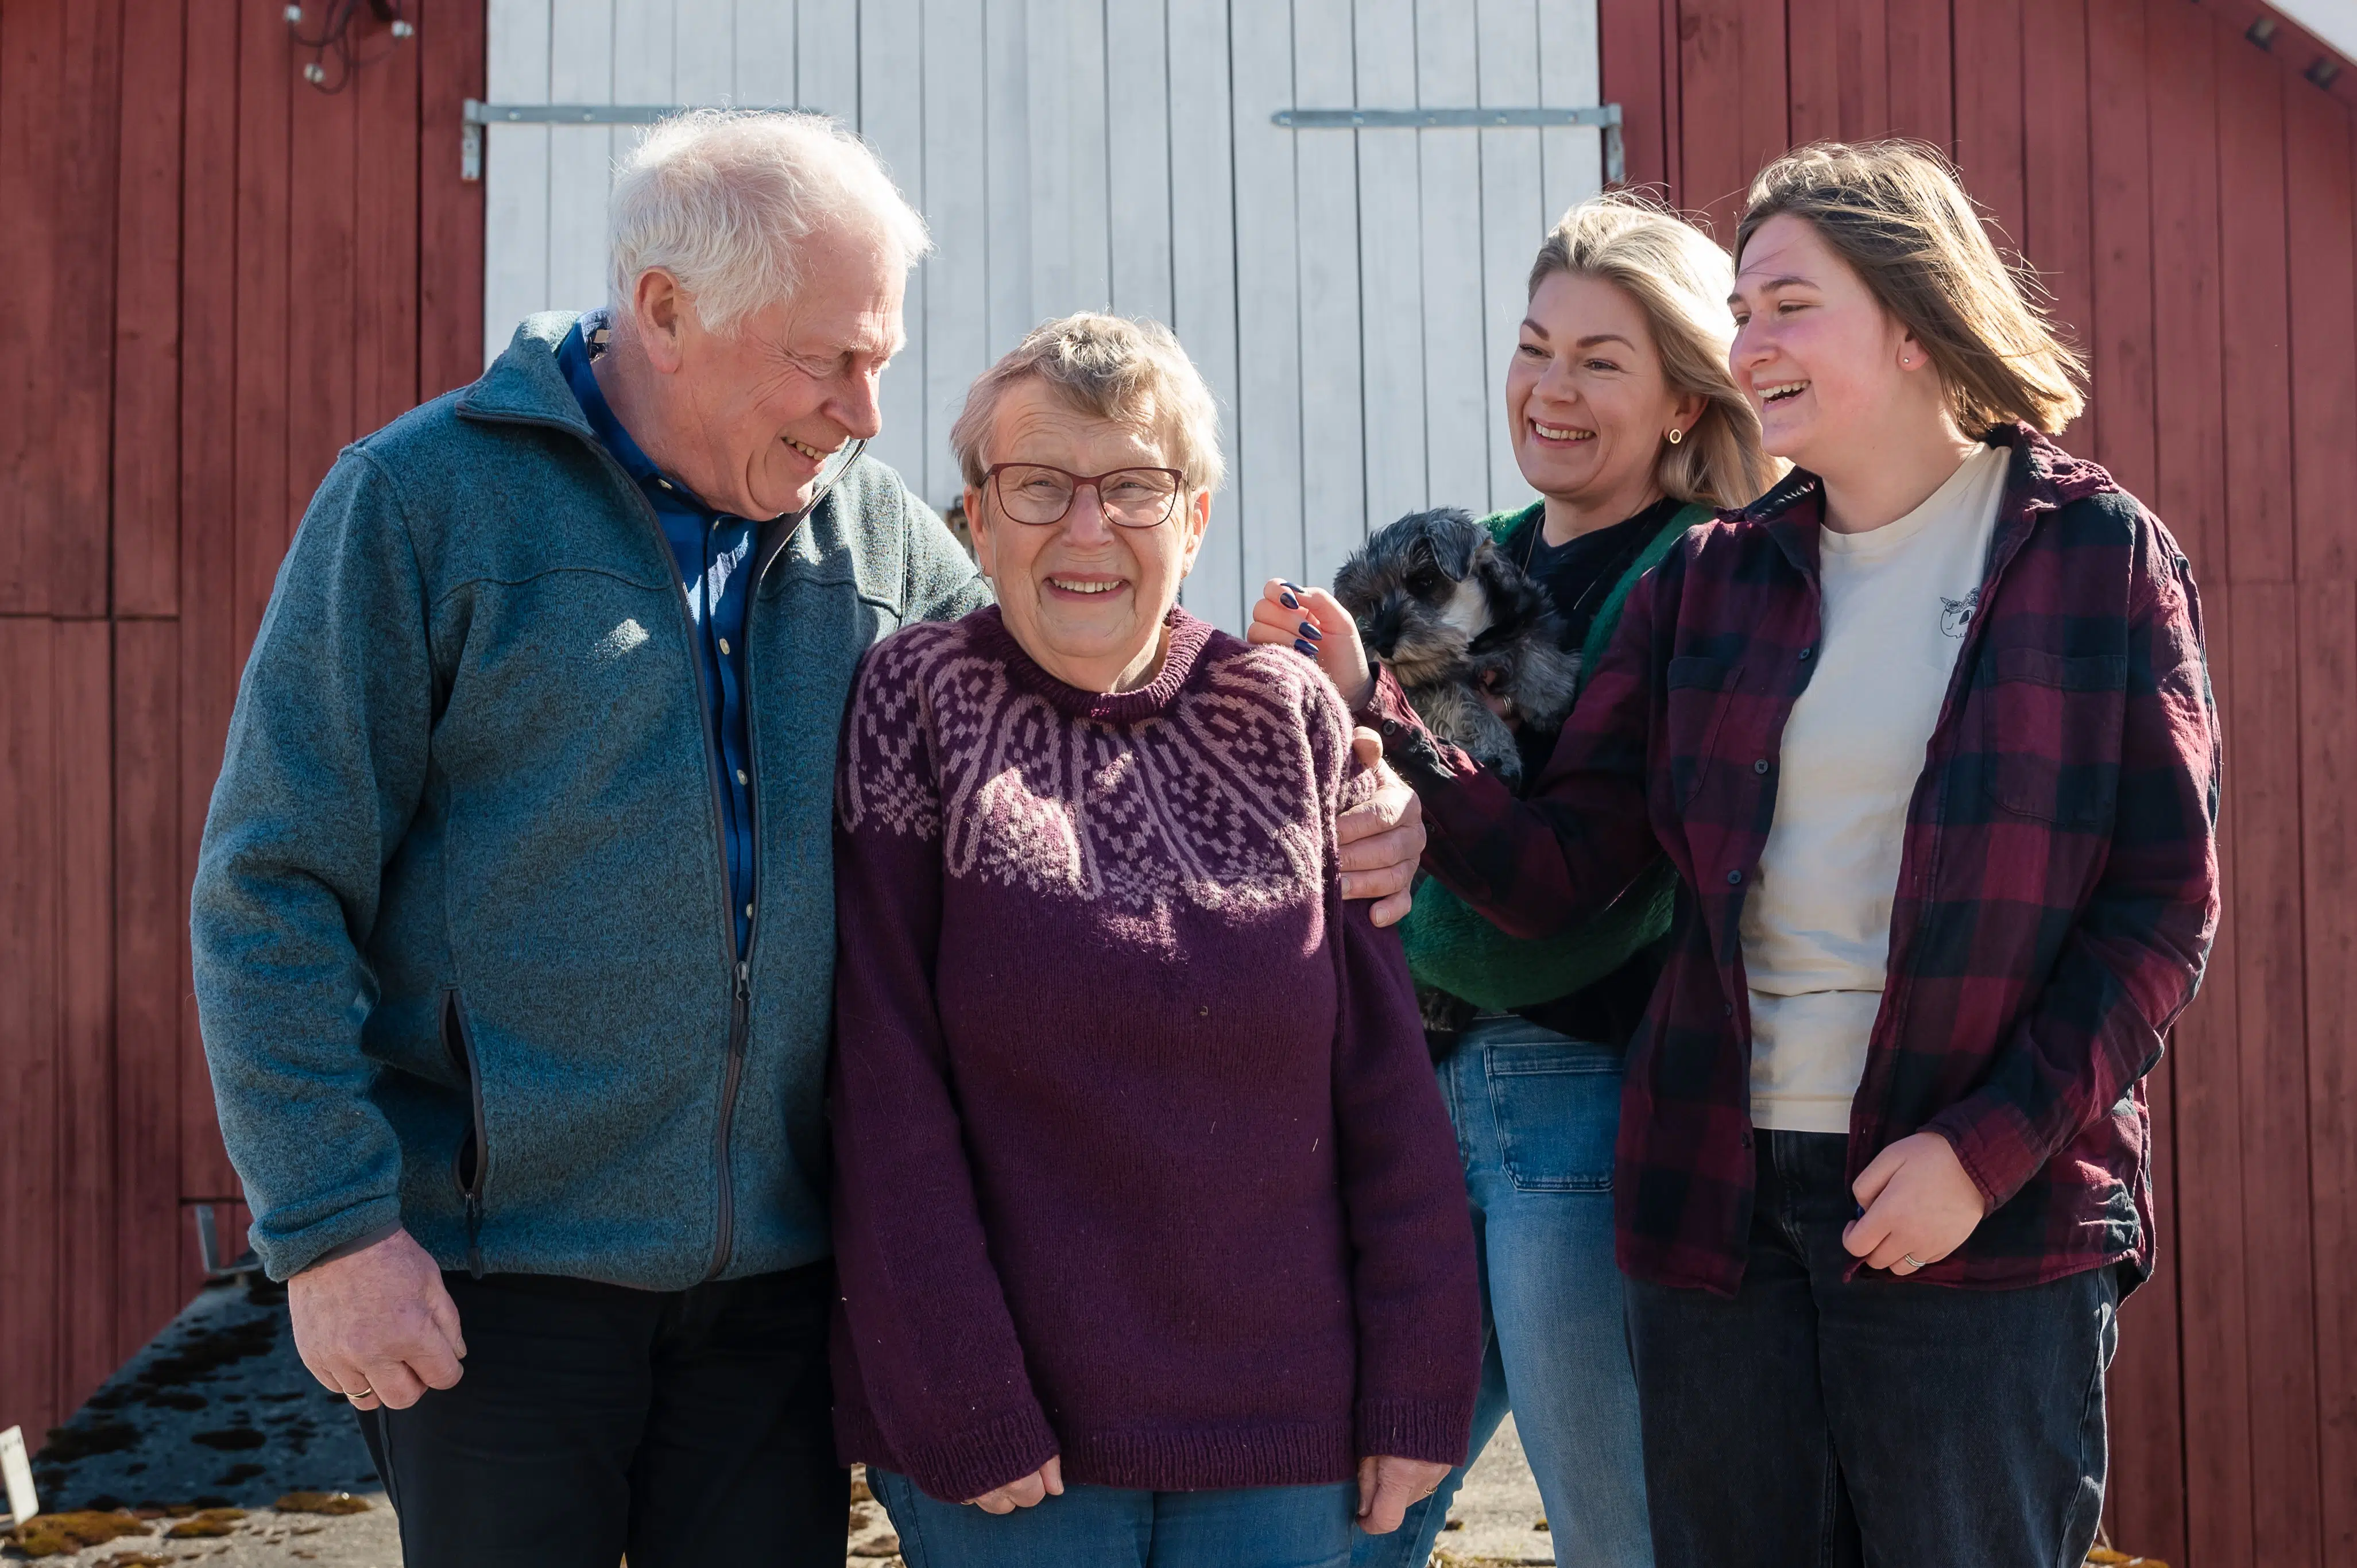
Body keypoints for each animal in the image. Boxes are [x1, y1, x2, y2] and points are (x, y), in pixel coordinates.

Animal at [1338, 506, 1574, 787]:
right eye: (1372, 602)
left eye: (1424, 582)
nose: (1383, 644)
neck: (1478, 646)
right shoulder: (1426, 687)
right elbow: (1466, 704)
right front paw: (1498, 751)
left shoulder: (1521, 614)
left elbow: (1532, 640)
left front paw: (1548, 693)